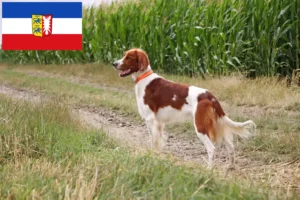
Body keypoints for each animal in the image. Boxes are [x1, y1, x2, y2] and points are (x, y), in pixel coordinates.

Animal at [112, 48, 255, 169]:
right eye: (124, 55)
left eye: (128, 57)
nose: (114, 63)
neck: (144, 78)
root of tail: (209, 96)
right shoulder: (158, 123)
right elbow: (159, 141)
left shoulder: (150, 119)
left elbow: (153, 140)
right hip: (217, 124)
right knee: (230, 146)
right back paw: (230, 166)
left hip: (200, 126)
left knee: (211, 148)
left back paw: (209, 169)